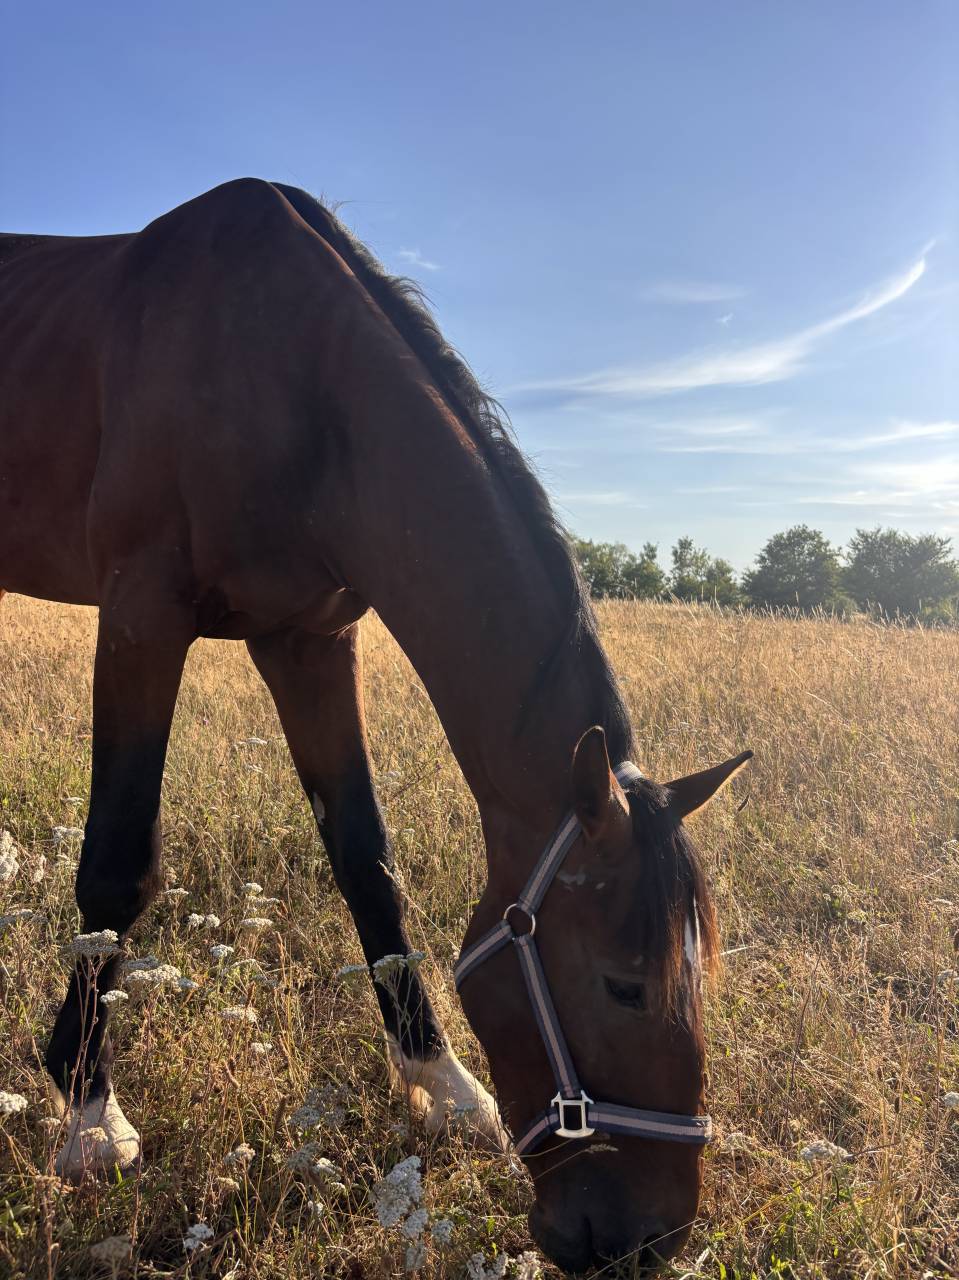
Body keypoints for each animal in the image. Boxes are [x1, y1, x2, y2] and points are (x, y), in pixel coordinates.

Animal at [0, 179, 750, 1274]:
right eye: (624, 987)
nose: (646, 1240)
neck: (294, 378)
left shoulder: (309, 639)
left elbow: (366, 859)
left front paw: (442, 1087)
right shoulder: (140, 614)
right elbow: (116, 868)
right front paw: (91, 1112)